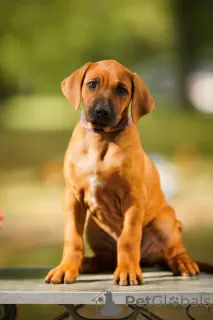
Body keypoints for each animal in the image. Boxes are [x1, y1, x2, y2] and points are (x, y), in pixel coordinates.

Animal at [45, 59, 211, 284]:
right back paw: (87, 263)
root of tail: (149, 259)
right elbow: (72, 237)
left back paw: (183, 264)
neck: (101, 140)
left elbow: (128, 238)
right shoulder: (73, 196)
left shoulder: (132, 198)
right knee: (105, 258)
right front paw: (66, 268)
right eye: (92, 84)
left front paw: (127, 271)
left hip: (166, 223)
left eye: (122, 90)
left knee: (174, 250)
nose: (102, 111)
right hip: (94, 229)